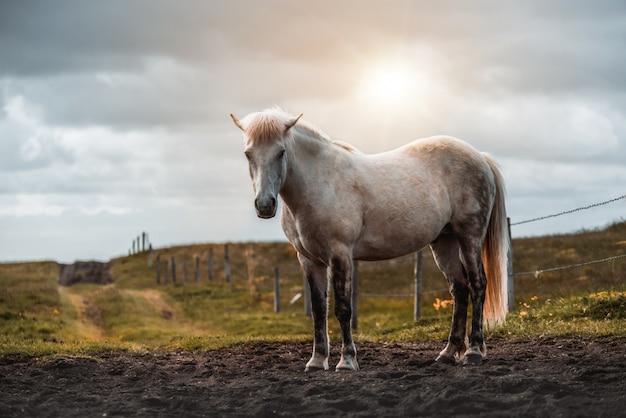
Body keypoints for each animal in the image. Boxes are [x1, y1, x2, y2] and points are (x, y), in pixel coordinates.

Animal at [230, 108, 508, 372]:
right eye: (248, 154)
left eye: (281, 152)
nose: (265, 205)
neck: (319, 184)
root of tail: (480, 157)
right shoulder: (309, 260)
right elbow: (319, 310)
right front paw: (317, 361)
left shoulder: (340, 255)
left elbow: (343, 309)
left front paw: (346, 361)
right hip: (444, 241)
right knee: (459, 289)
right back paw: (448, 354)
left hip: (469, 236)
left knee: (477, 284)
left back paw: (473, 352)